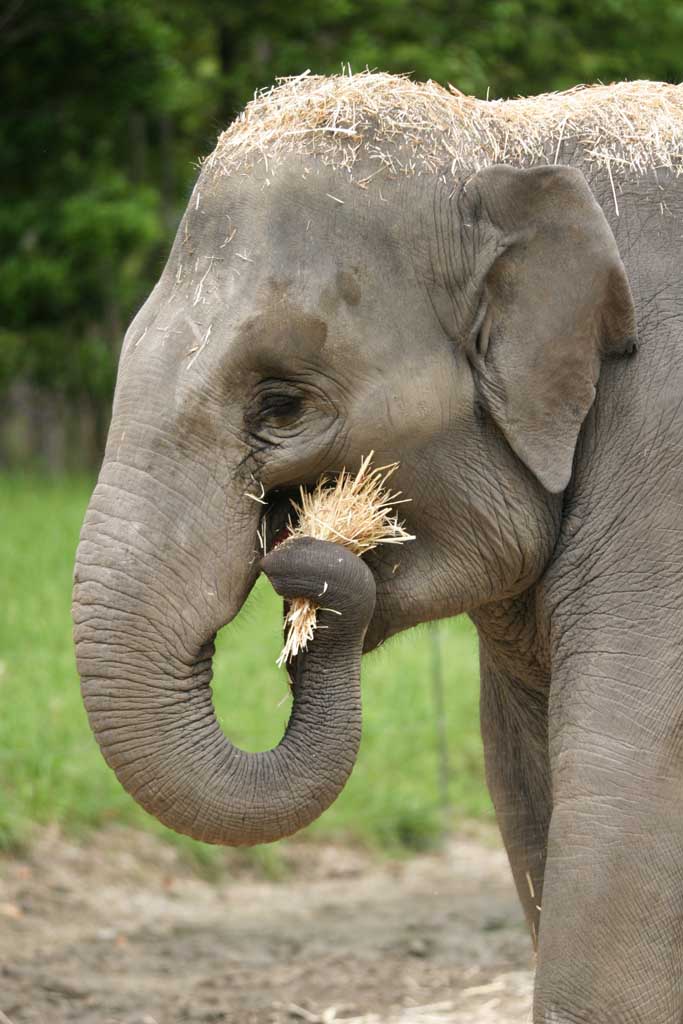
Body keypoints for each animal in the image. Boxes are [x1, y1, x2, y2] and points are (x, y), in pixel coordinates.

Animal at [73, 74, 683, 1024]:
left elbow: (626, 819)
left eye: (281, 405)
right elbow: (530, 799)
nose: (306, 563)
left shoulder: (663, 463)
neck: (513, 139)